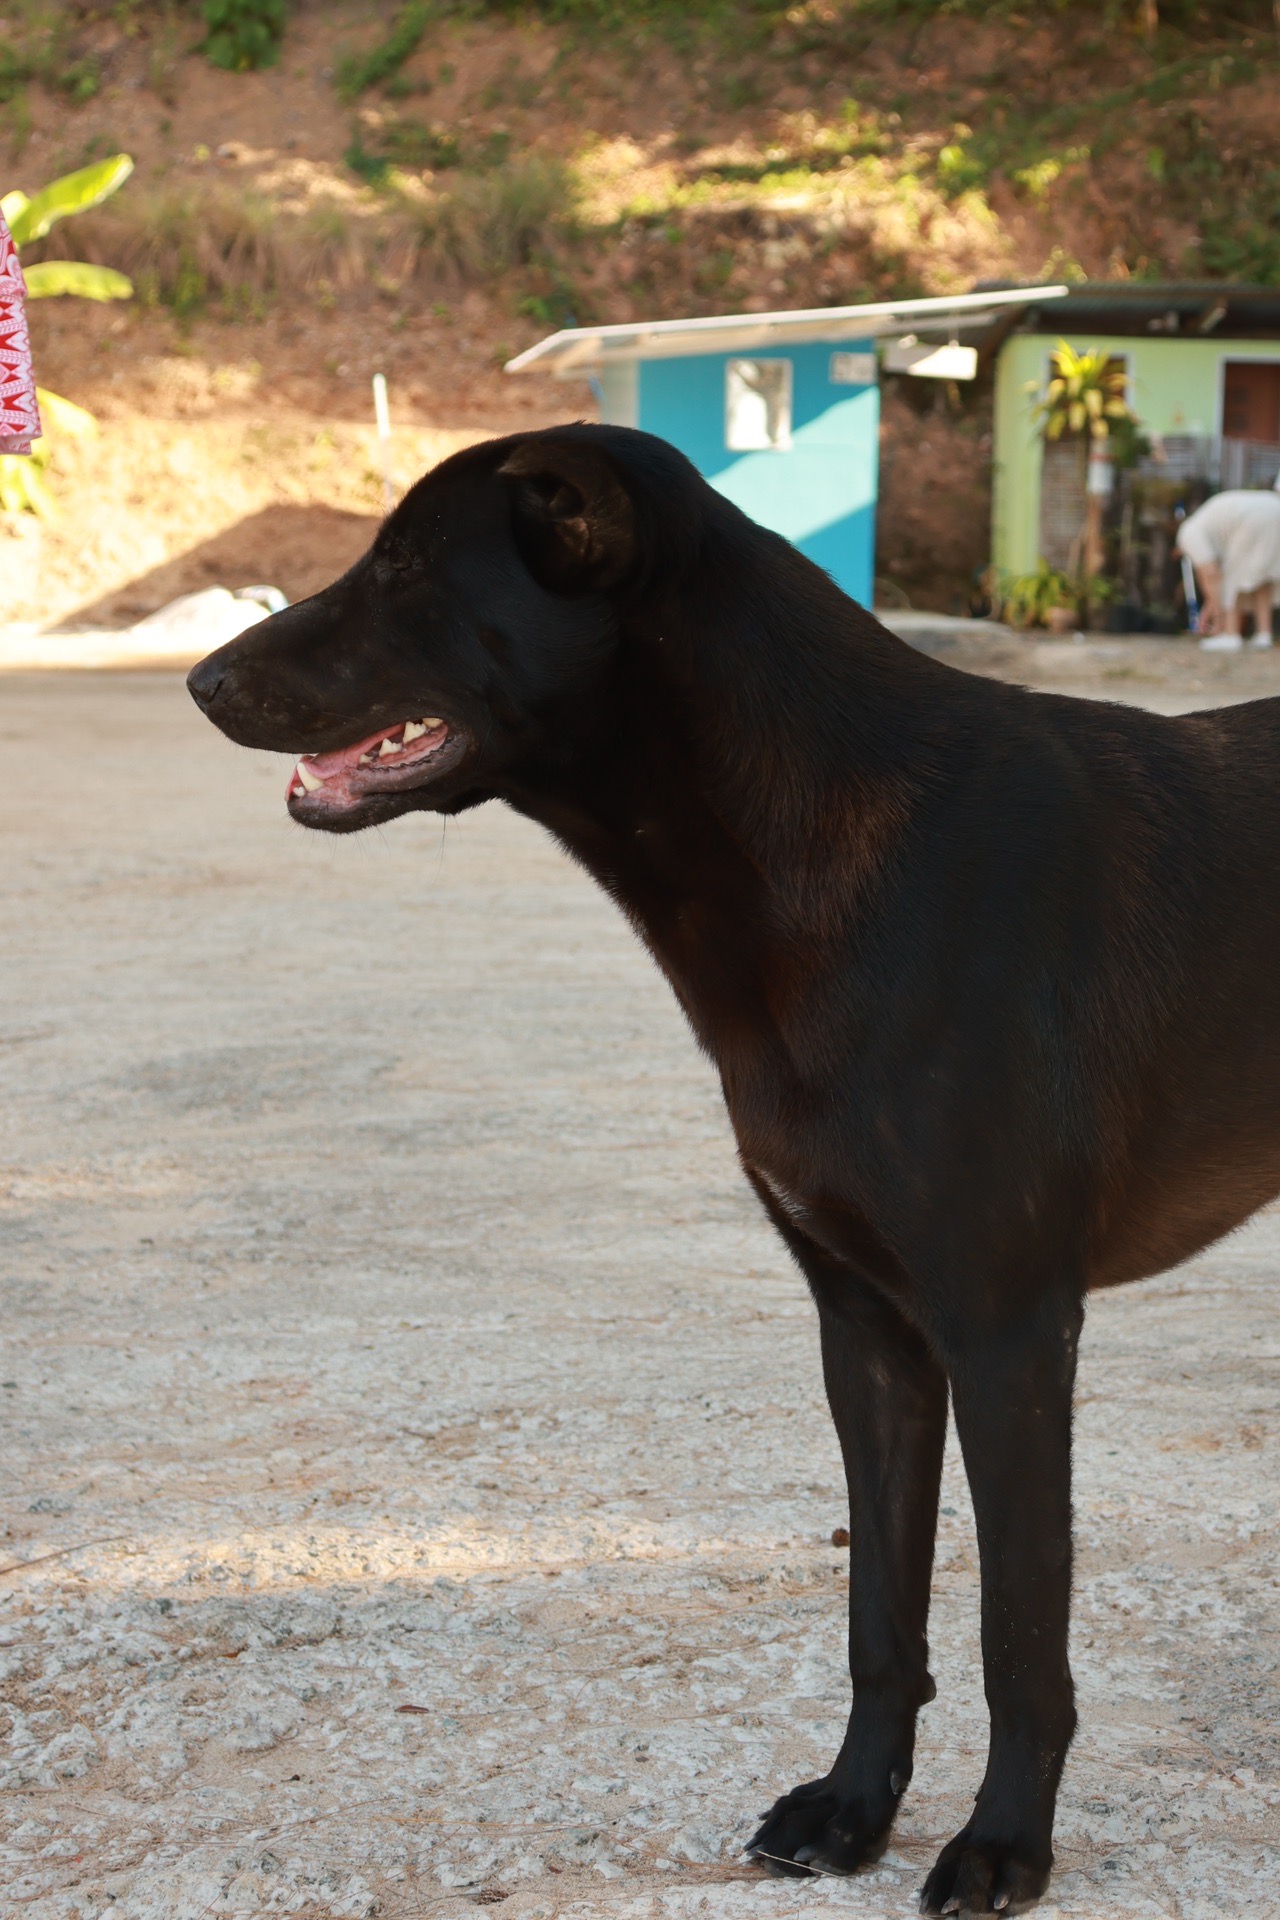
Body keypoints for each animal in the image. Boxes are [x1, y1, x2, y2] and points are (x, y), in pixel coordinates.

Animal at [188, 428, 1280, 1912]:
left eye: (407, 564)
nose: (201, 680)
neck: (843, 849)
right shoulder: (870, 1332)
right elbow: (880, 1616)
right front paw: (854, 1808)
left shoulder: (1007, 1333)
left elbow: (1015, 1634)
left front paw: (1002, 1843)